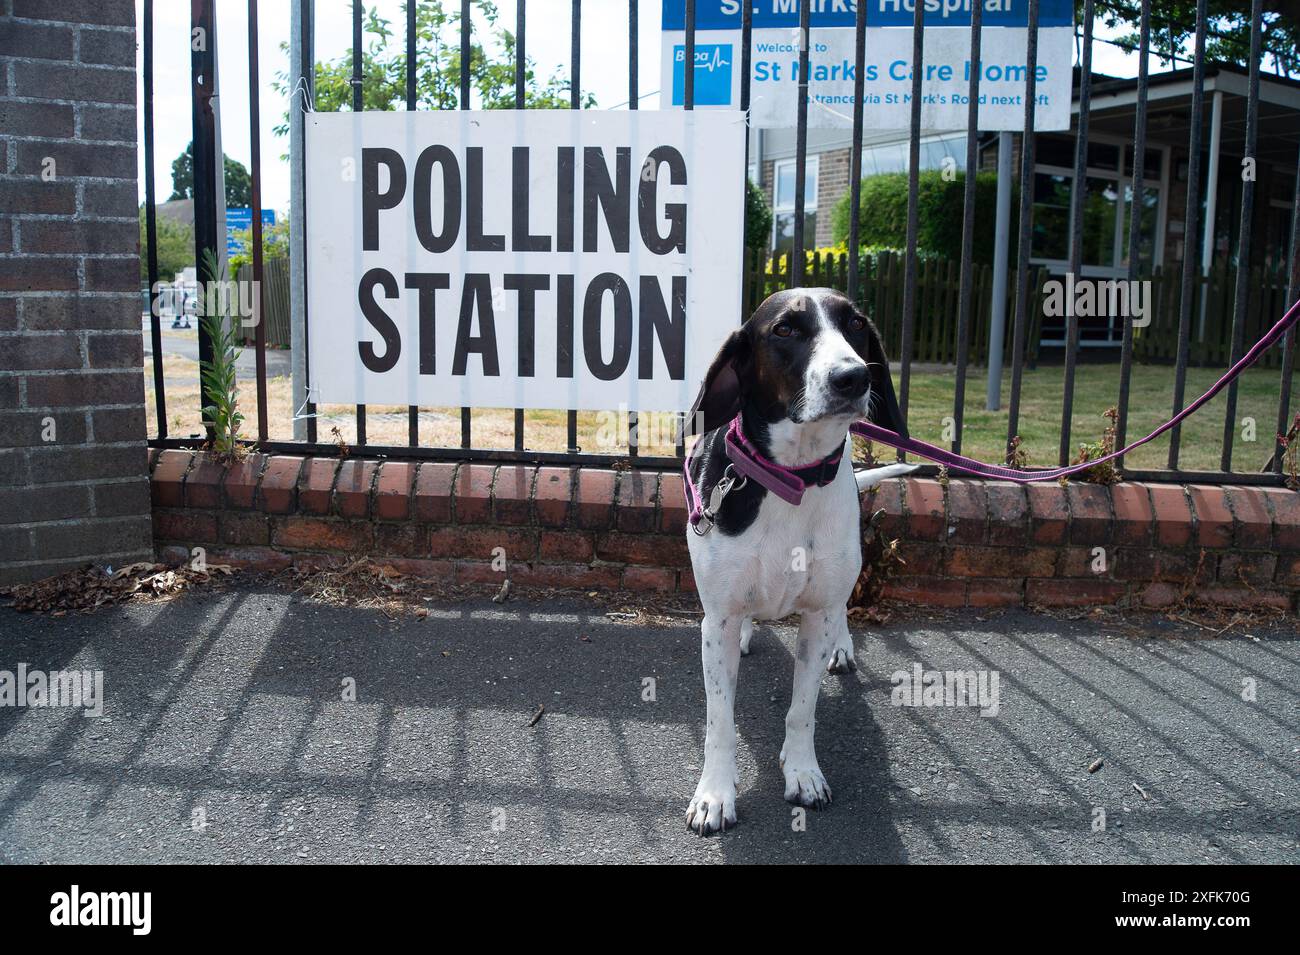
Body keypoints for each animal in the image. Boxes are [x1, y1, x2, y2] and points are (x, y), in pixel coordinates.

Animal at [681, 287, 915, 831]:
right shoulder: (716, 620)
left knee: (841, 611)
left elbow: (802, 710)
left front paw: (803, 772)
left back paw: (842, 647)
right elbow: (720, 718)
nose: (854, 376)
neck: (792, 478)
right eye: (785, 329)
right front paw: (715, 793)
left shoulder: (815, 615)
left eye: (855, 324)